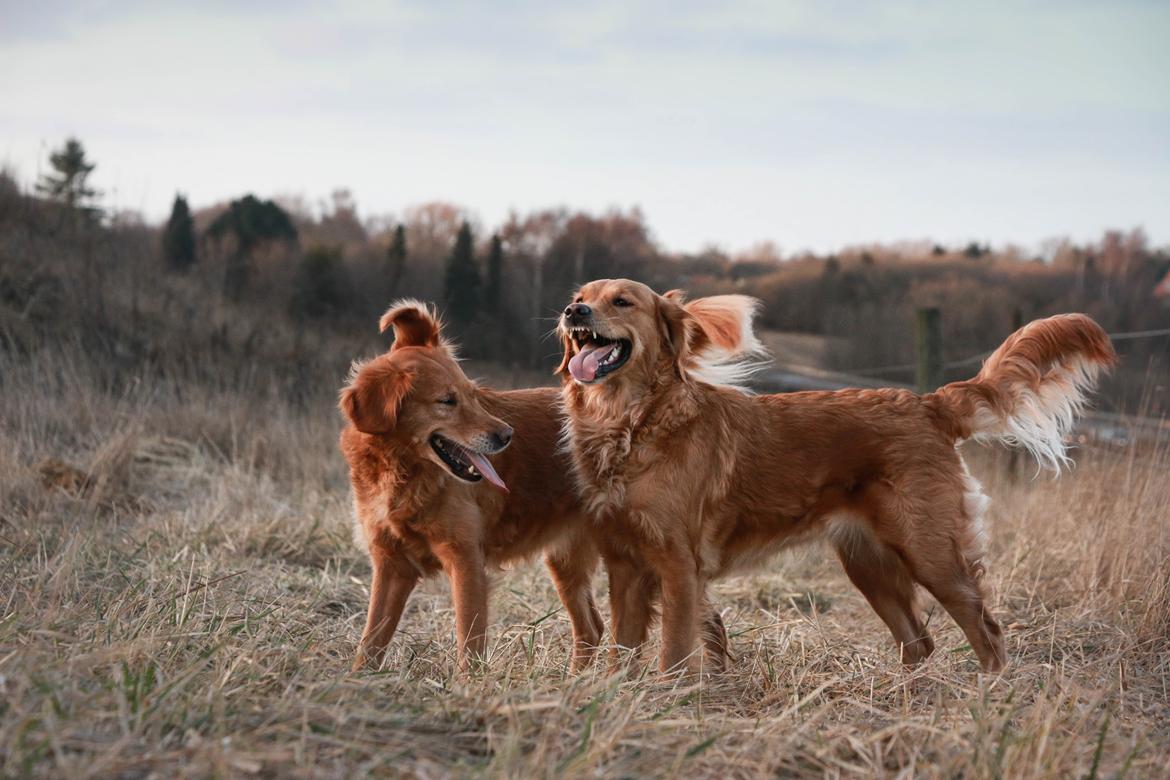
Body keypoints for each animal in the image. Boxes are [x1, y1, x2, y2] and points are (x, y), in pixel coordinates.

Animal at [556, 279, 1113, 673]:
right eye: (581, 298)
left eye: (622, 301)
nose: (572, 312)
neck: (633, 423)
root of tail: (927, 403)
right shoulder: (625, 566)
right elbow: (620, 652)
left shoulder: (677, 566)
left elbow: (673, 654)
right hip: (868, 564)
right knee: (920, 642)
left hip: (931, 552)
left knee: (987, 631)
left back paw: (987, 696)